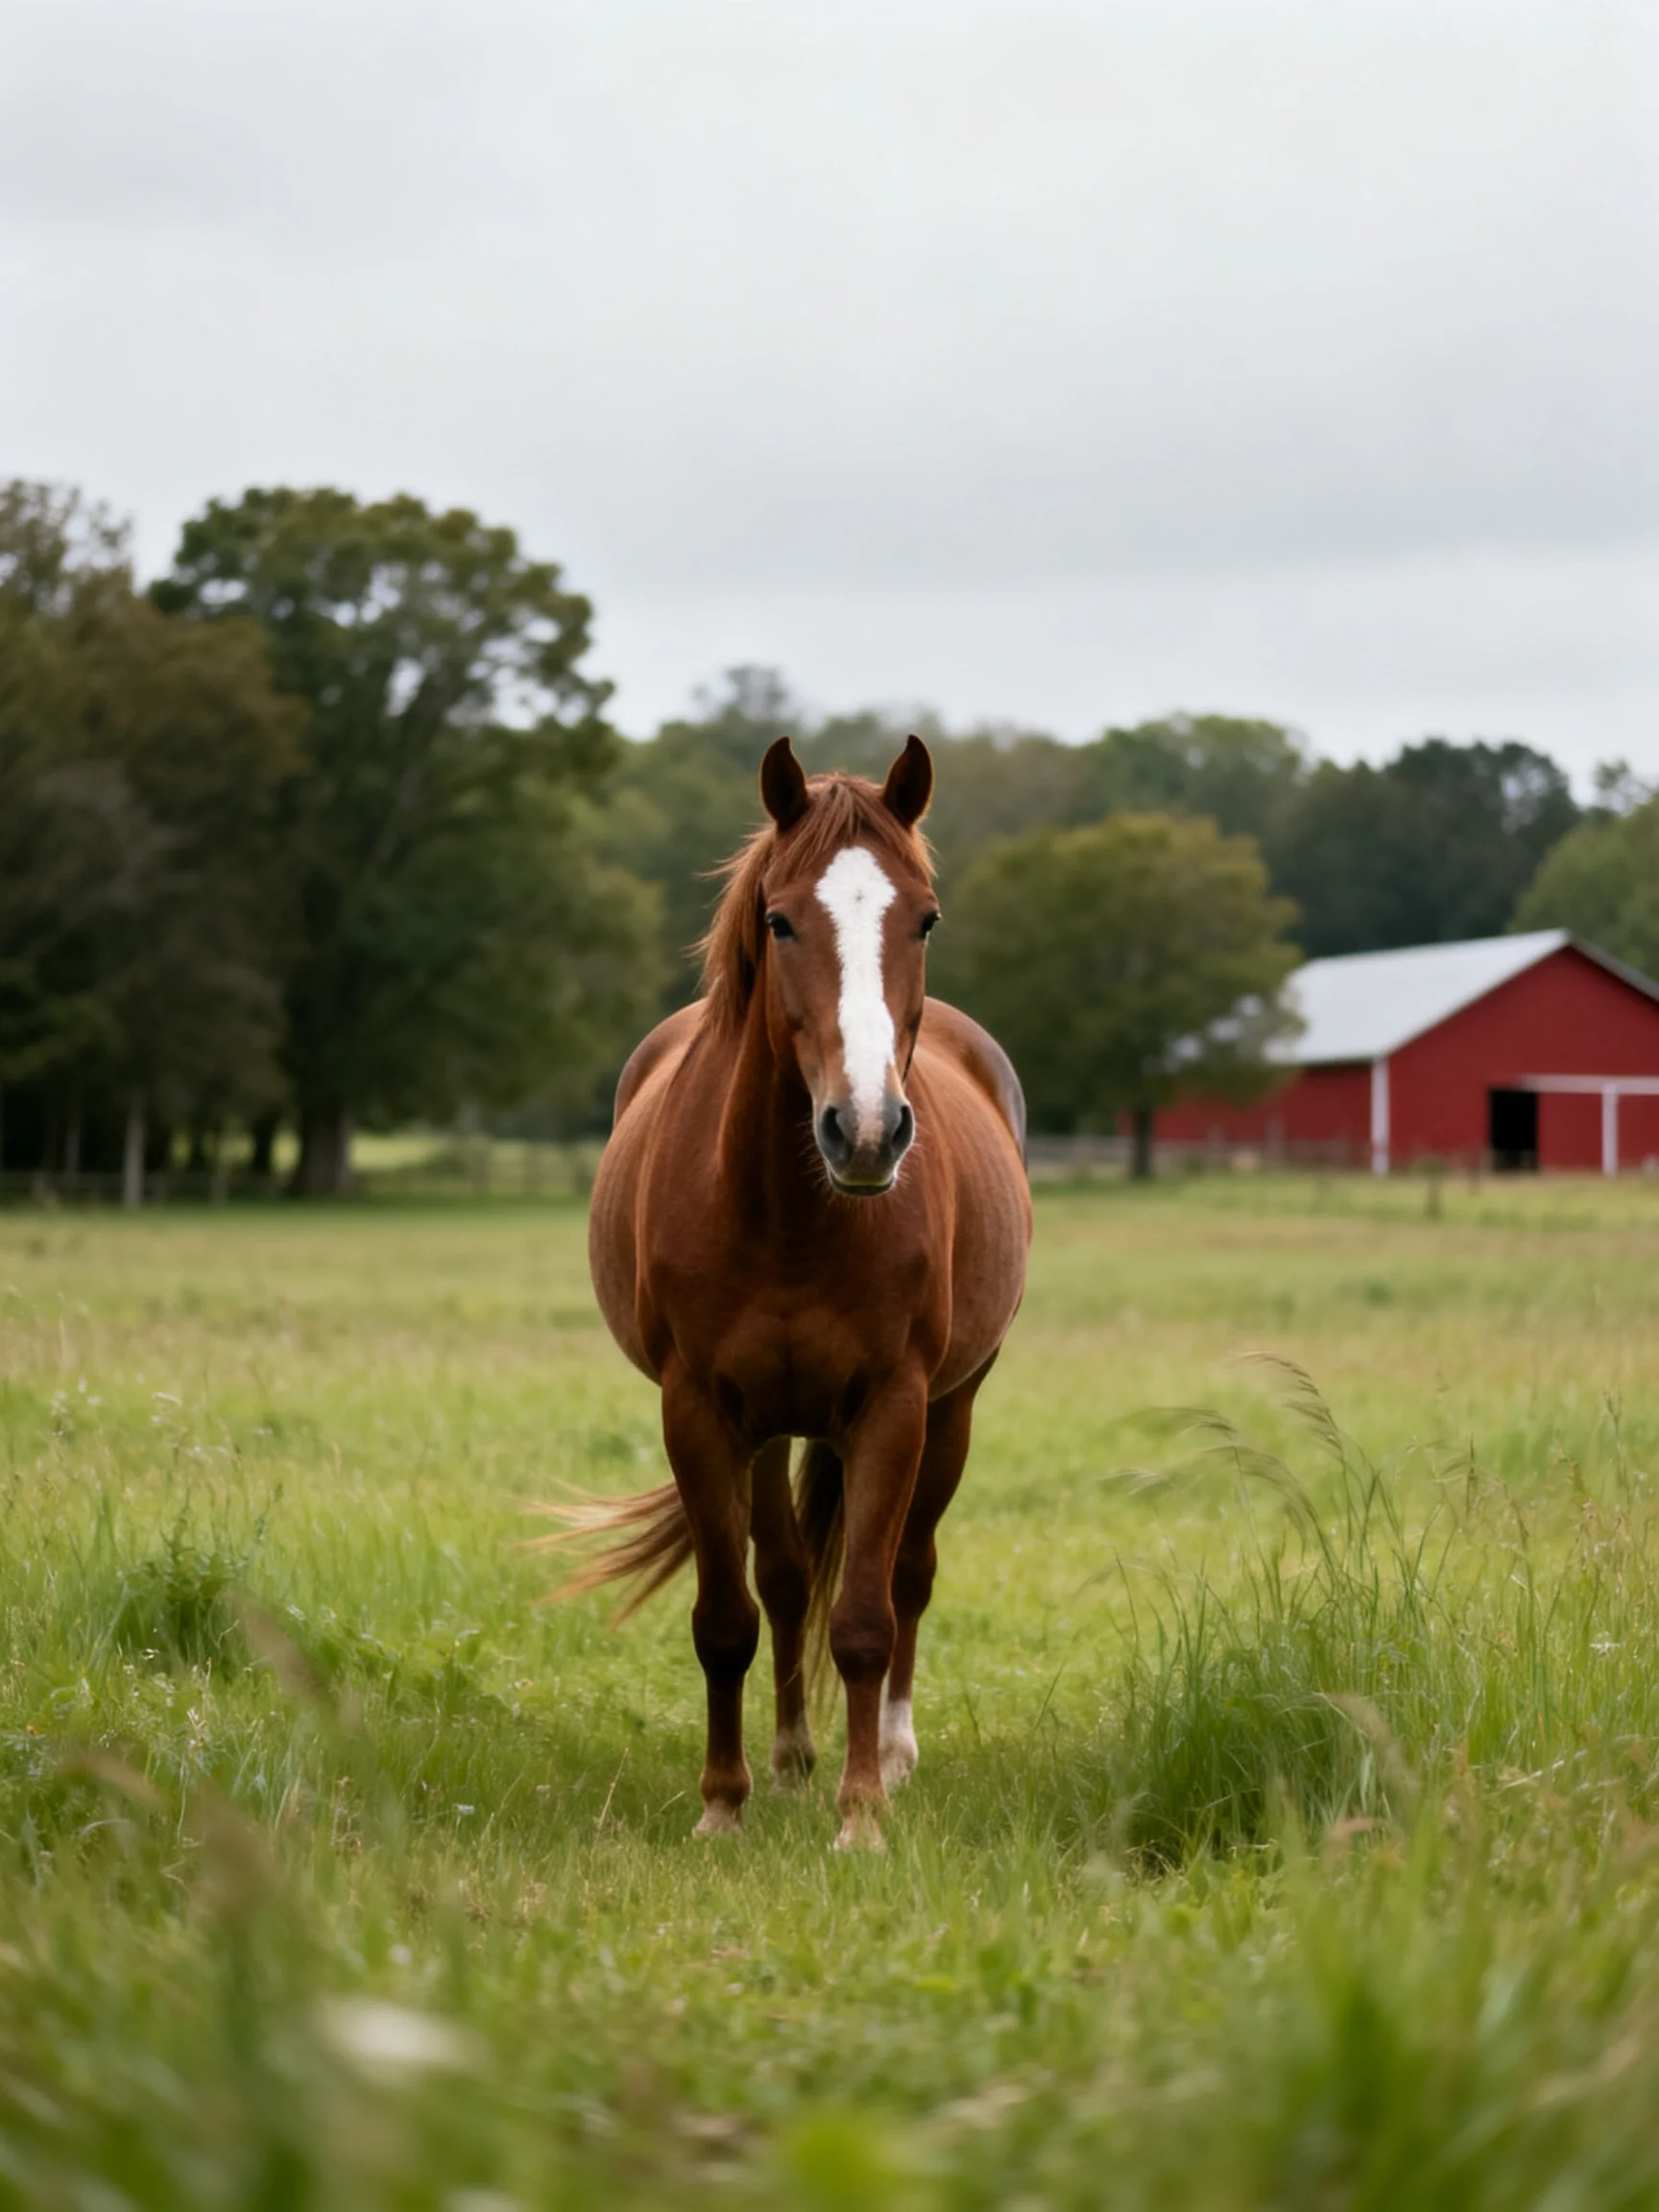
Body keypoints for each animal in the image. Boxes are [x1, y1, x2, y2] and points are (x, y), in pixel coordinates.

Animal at [571, 733, 1031, 1847]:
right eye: (780, 919)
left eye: (926, 918)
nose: (865, 1130)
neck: (787, 1212)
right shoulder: (698, 1409)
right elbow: (727, 1617)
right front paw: (723, 1804)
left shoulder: (895, 1406)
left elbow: (864, 1616)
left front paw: (861, 1816)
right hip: (772, 1424)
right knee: (781, 1581)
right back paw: (786, 1757)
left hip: (954, 1406)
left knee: (909, 1574)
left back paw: (891, 1754)